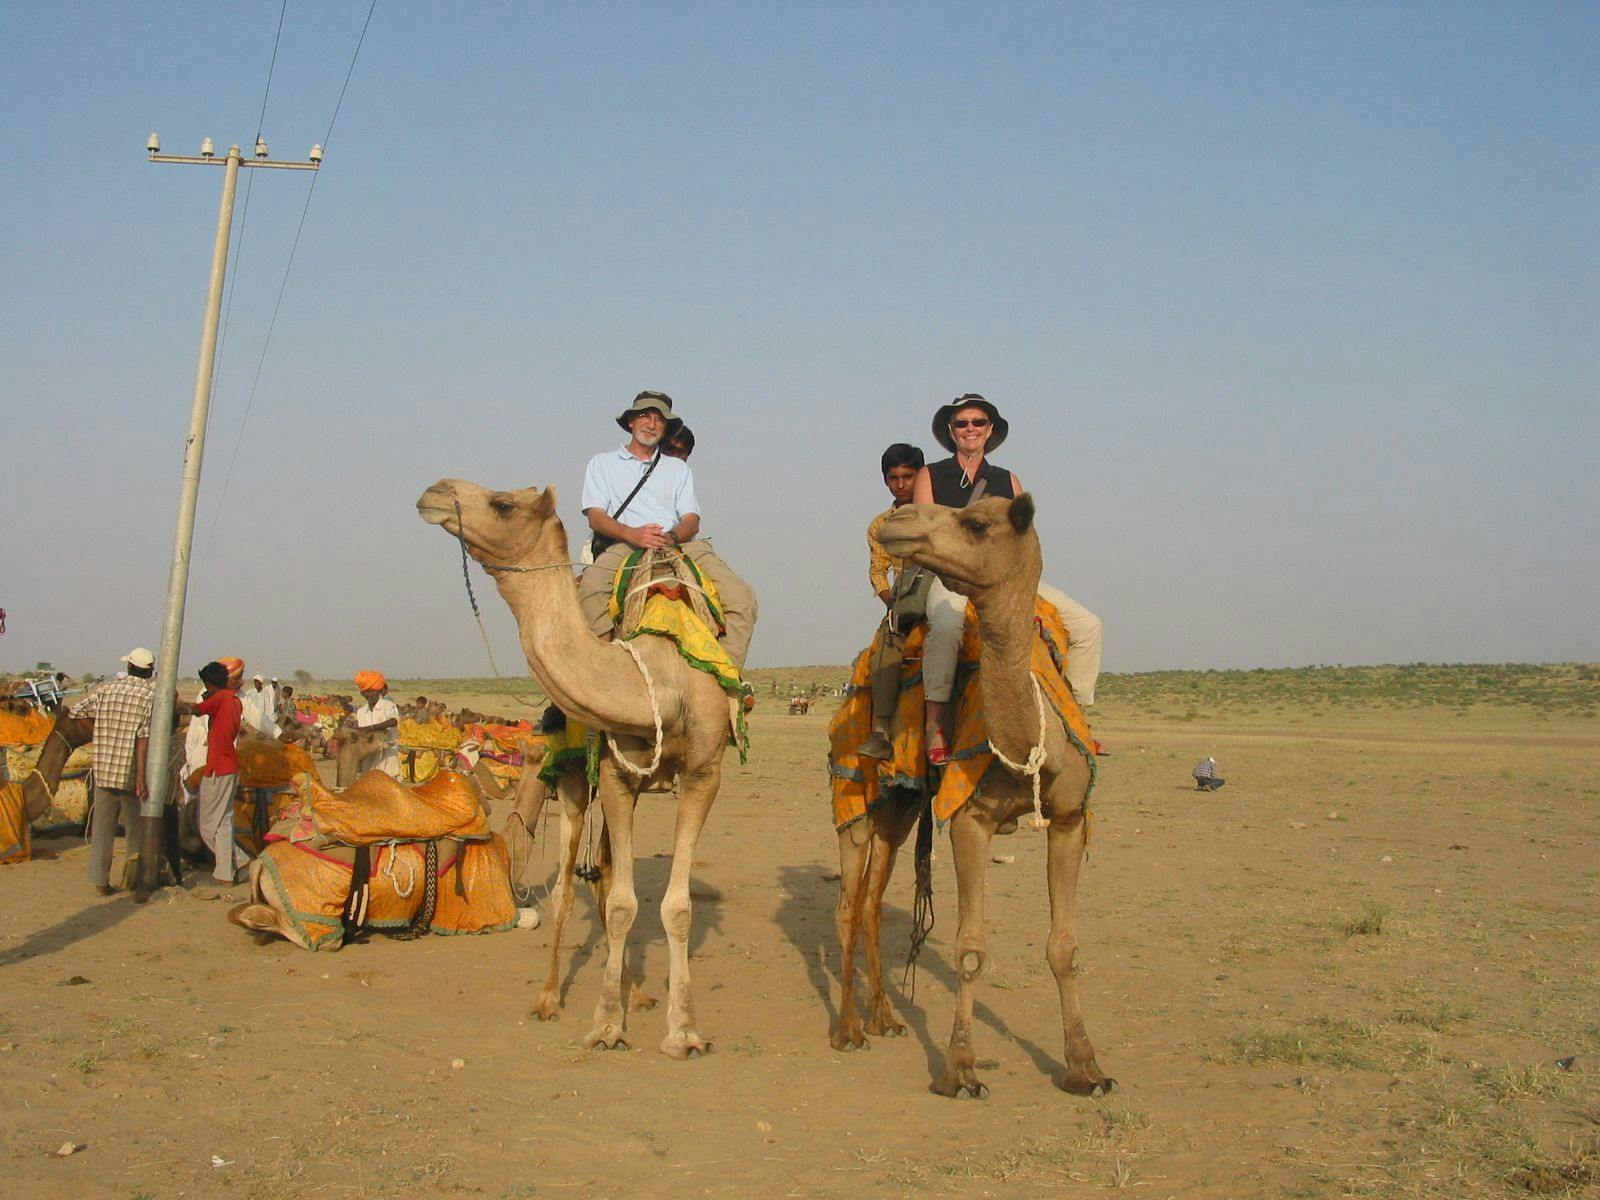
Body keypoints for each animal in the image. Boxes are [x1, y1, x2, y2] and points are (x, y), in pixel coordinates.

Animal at [418, 478, 733, 1058]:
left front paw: (683, 1030)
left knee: (603, 874)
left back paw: (642, 996)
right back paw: (549, 998)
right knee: (568, 887)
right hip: (569, 779)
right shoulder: (611, 775)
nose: (434, 491)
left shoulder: (705, 773)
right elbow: (621, 904)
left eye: (502, 503)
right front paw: (607, 1024)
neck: (661, 680)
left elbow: (674, 906)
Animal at [838, 493, 1114, 1099]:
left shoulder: (1069, 820)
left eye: (978, 523)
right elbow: (970, 950)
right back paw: (847, 1031)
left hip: (901, 806)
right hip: (854, 791)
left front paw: (1086, 1067)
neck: (1032, 746)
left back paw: (884, 1018)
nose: (895, 522)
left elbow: (1065, 948)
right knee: (848, 902)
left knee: (871, 903)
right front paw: (959, 1070)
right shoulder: (969, 820)